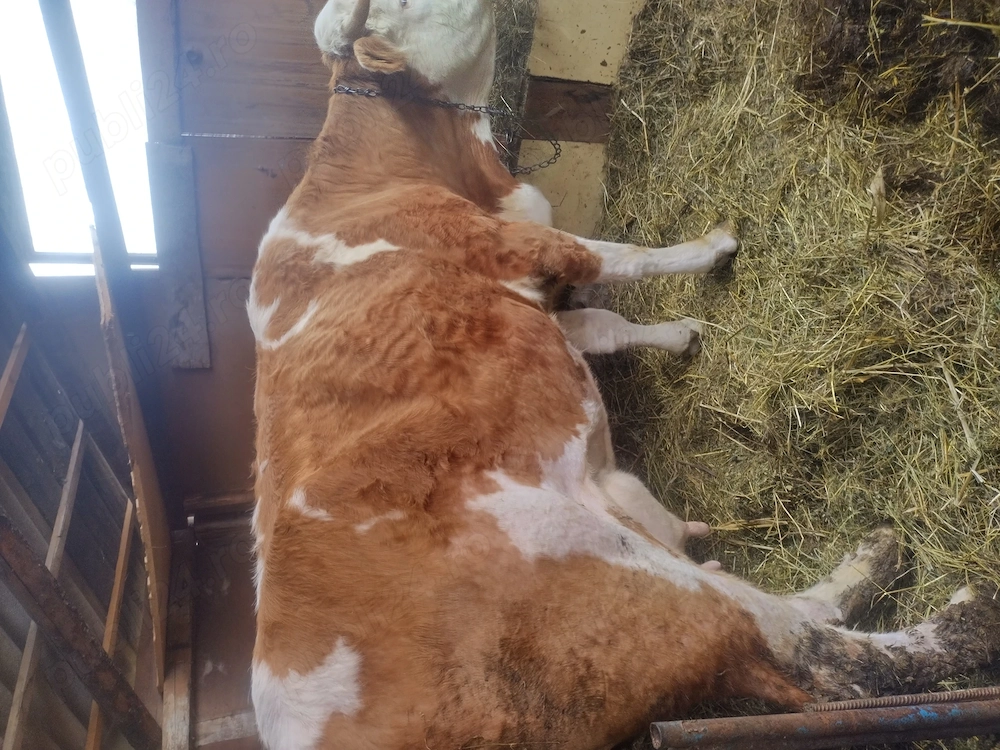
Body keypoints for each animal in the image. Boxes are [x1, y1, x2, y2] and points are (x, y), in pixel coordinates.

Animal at [247, 1, 1000, 748]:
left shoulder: (535, 292)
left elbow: (601, 325)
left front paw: (678, 335)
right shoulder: (524, 246)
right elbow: (626, 257)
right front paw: (713, 248)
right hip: (606, 569)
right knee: (824, 659)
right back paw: (942, 596)